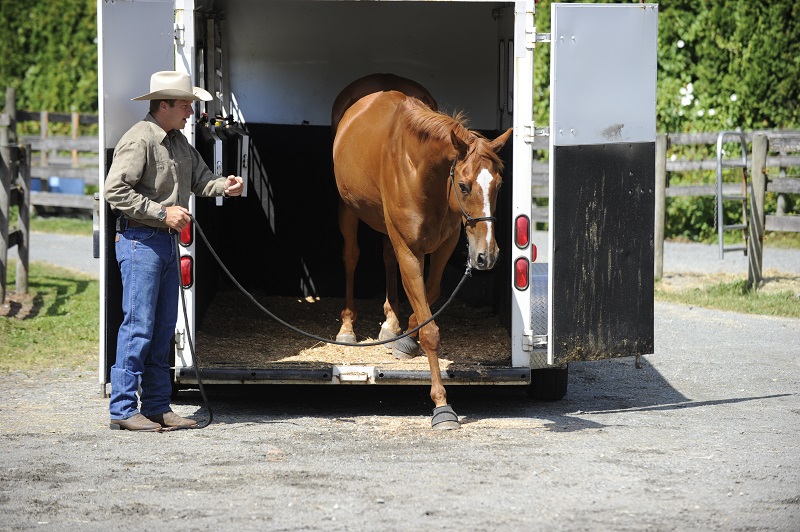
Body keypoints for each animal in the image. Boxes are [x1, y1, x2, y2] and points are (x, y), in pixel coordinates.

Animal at [332, 81, 512, 430]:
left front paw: (405, 333)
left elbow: (430, 292)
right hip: (347, 208)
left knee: (387, 258)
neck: (418, 169)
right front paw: (442, 405)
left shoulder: (444, 243)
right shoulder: (409, 248)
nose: (487, 254)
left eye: (498, 185)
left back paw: (391, 324)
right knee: (350, 257)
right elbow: (430, 330)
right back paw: (347, 328)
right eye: (464, 186)